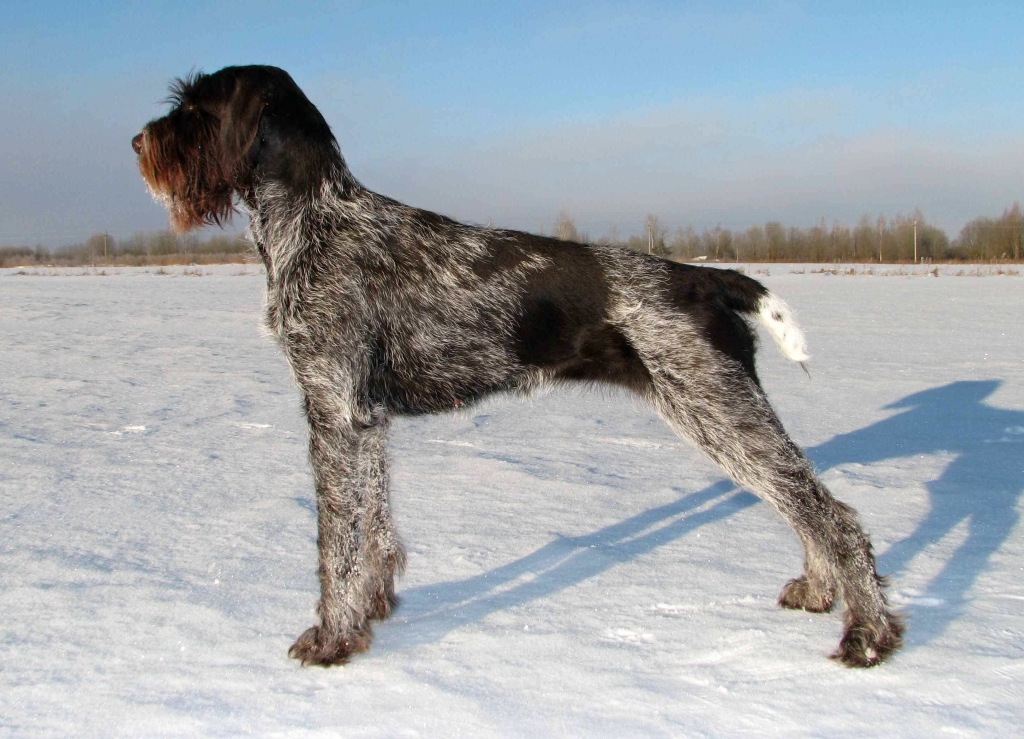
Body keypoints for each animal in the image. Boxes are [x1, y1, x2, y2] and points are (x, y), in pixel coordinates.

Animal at [133, 65, 903, 668]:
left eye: (196, 107)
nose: (138, 142)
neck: (317, 220)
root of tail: (704, 275)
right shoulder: (363, 419)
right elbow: (373, 525)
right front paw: (375, 608)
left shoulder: (332, 411)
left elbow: (336, 545)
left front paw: (331, 639)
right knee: (807, 506)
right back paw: (821, 593)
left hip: (717, 410)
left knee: (832, 514)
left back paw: (867, 634)